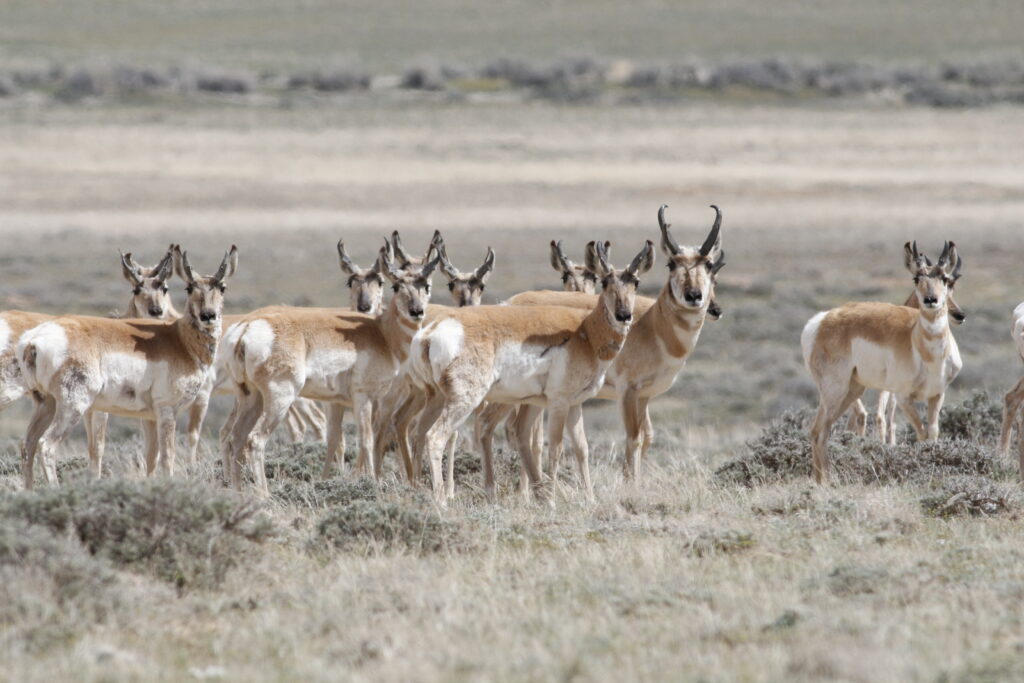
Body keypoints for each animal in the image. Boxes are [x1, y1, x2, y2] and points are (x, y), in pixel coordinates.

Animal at [19, 245, 235, 485]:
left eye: (222, 287)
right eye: (189, 287)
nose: (208, 316)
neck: (179, 340)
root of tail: (35, 339)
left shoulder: (149, 418)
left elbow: (151, 456)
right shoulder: (167, 412)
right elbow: (167, 457)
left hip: (46, 404)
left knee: (27, 445)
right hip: (72, 407)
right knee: (46, 446)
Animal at [222, 240, 438, 491]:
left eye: (426, 285)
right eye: (396, 286)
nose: (417, 312)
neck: (381, 333)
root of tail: (247, 327)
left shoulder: (340, 401)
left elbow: (339, 439)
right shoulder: (364, 397)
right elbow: (367, 439)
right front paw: (372, 483)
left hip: (250, 397)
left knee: (235, 439)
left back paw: (239, 492)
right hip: (280, 399)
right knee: (255, 441)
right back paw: (264, 494)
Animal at [403, 239, 651, 501]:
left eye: (636, 282)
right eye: (605, 281)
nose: (624, 316)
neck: (584, 331)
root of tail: (431, 332)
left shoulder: (574, 404)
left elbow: (581, 448)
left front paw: (590, 500)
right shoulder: (558, 402)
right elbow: (555, 448)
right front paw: (552, 501)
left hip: (437, 398)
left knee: (418, 433)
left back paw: (417, 491)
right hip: (464, 401)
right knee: (436, 437)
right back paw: (442, 501)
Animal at [802, 242, 962, 483]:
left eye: (944, 278)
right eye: (916, 278)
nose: (931, 300)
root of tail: (821, 320)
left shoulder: (937, 395)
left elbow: (932, 433)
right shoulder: (903, 398)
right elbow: (921, 432)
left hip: (852, 391)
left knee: (822, 429)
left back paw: (822, 481)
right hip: (835, 391)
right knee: (819, 430)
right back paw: (827, 482)